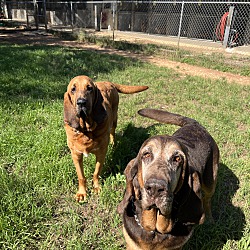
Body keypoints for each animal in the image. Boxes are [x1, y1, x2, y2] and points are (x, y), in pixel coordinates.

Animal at [118, 109, 218, 250]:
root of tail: (195, 124)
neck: (155, 231)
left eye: (177, 159)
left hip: (210, 182)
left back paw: (209, 219)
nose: (155, 188)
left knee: (207, 200)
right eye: (146, 154)